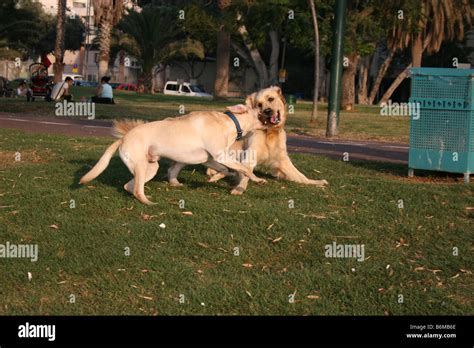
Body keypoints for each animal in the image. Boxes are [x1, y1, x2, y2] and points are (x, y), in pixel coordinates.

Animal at [79, 99, 268, 204]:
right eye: (259, 108)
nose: (268, 111)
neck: (231, 122)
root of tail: (123, 138)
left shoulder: (210, 159)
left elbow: (225, 170)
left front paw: (214, 178)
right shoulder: (220, 155)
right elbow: (243, 169)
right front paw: (257, 179)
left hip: (150, 168)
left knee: (130, 186)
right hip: (141, 166)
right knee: (138, 190)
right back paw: (149, 203)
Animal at [168, 85, 328, 194]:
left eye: (271, 99)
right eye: (259, 105)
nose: (267, 111)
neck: (268, 132)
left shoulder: (282, 159)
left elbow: (300, 176)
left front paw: (315, 182)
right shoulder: (250, 155)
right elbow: (246, 172)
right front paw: (239, 188)